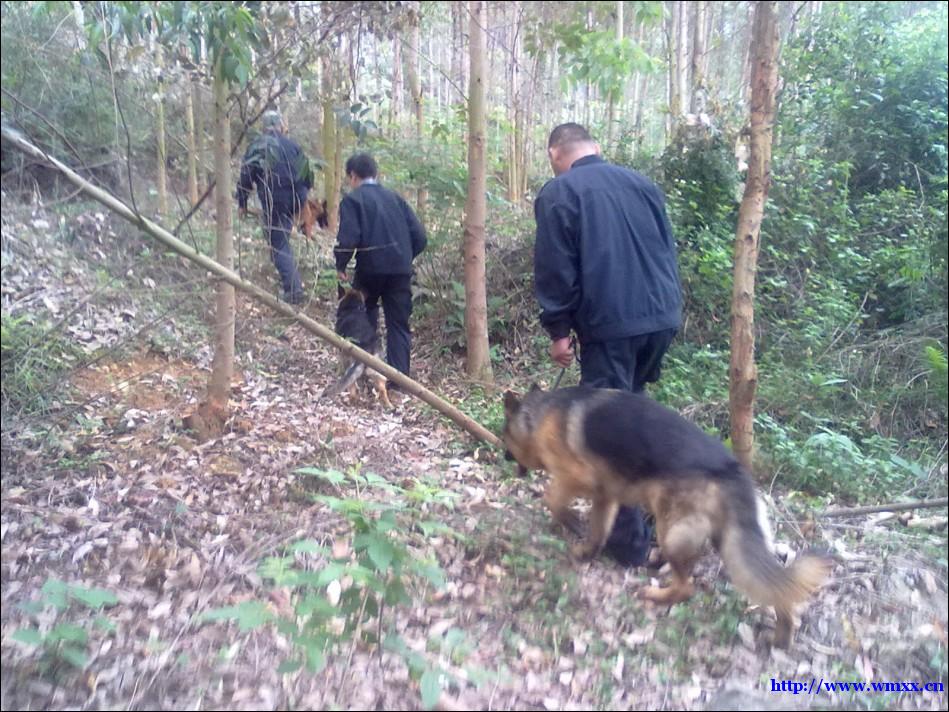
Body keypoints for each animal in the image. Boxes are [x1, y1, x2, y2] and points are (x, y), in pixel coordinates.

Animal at [504, 386, 828, 648]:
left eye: (505, 433)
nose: (504, 455)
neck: (538, 415)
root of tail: (732, 469)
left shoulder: (577, 478)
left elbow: (552, 499)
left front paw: (569, 520)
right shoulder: (606, 497)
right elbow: (598, 530)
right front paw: (585, 551)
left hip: (671, 532)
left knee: (687, 588)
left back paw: (656, 595)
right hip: (731, 543)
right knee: (777, 585)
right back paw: (783, 634)